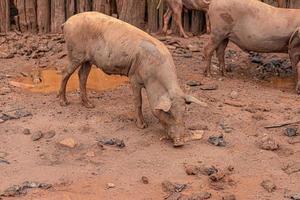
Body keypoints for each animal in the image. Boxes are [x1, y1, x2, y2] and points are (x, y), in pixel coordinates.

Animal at [57, 11, 207, 146]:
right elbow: (138, 101)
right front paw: (142, 126)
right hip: (75, 53)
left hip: (88, 59)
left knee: (82, 76)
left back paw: (89, 105)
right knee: (65, 73)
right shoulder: (133, 77)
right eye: (168, 112)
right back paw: (64, 102)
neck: (154, 78)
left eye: (184, 111)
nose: (180, 142)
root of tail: (67, 22)